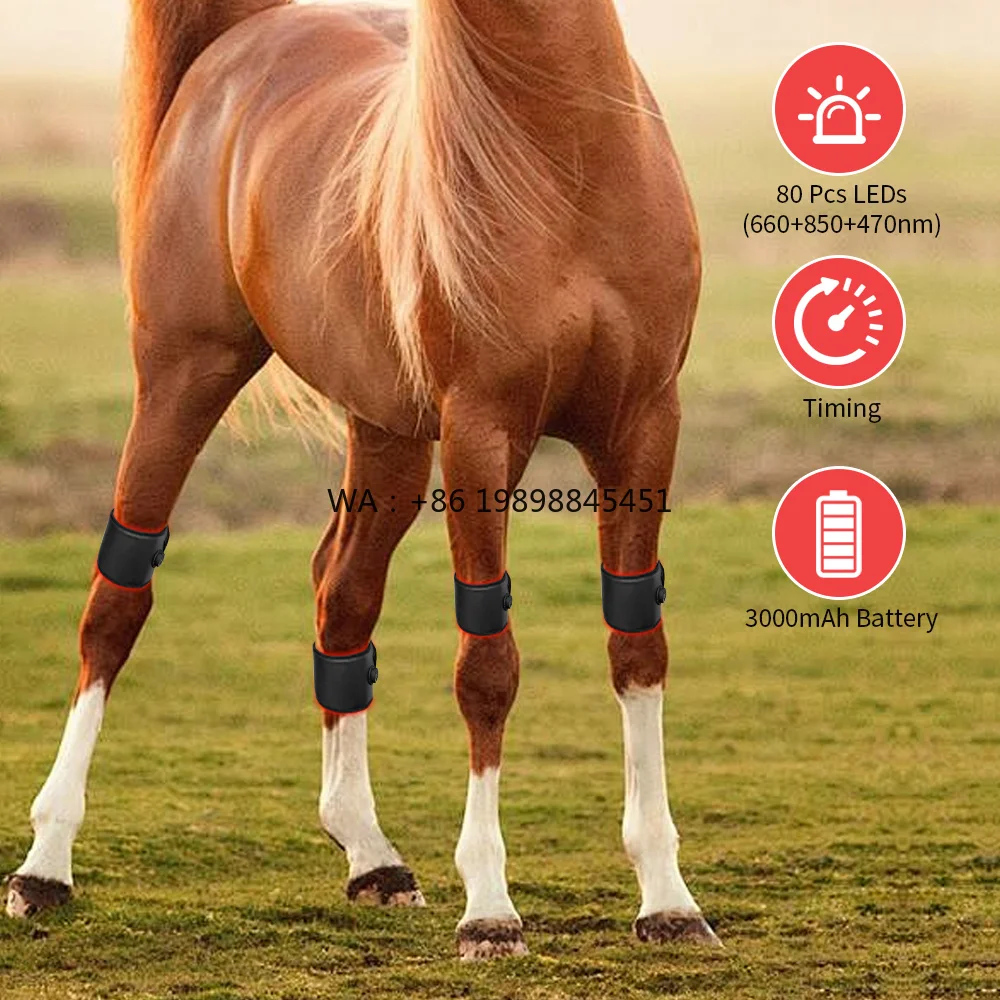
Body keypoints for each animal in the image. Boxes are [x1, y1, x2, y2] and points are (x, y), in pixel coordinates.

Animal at [5, 0, 716, 959]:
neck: (567, 153)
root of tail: (249, 38)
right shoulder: (481, 433)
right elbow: (487, 665)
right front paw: (489, 909)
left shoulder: (643, 428)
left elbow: (637, 645)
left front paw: (667, 898)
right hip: (184, 376)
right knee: (116, 601)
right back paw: (45, 866)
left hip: (388, 432)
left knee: (341, 594)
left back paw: (371, 854)